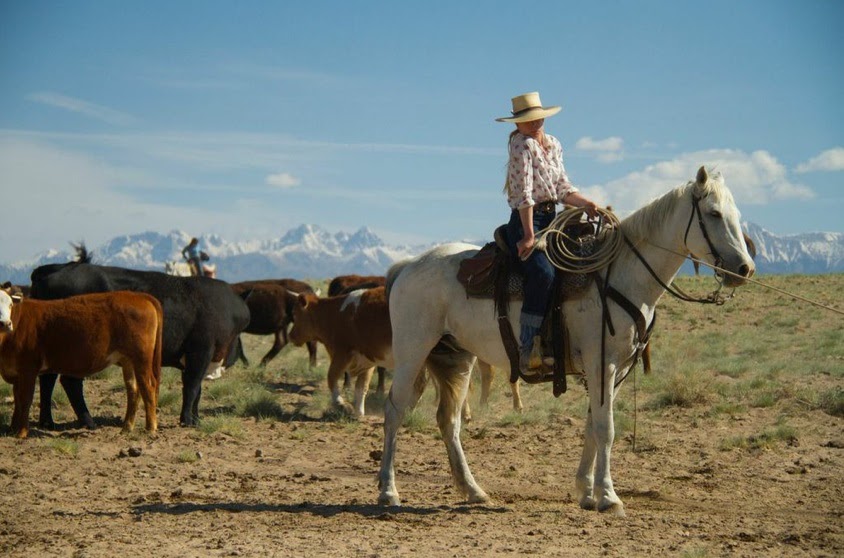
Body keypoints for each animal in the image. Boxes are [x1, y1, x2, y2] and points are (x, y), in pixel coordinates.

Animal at [0, 288, 162, 442]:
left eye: (10, 305)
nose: (5, 324)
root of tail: (138, 296)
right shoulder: (16, 373)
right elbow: (17, 400)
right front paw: (12, 429)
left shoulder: (28, 370)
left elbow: (25, 400)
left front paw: (21, 432)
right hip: (128, 360)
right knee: (133, 390)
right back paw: (127, 427)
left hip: (141, 358)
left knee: (148, 387)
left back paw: (150, 428)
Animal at [380, 168, 756, 520]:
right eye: (714, 213)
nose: (744, 268)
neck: (623, 276)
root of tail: (408, 266)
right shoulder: (601, 363)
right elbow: (606, 429)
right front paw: (609, 497)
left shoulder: (614, 370)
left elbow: (592, 426)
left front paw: (587, 492)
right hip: (414, 350)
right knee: (394, 410)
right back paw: (388, 491)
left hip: (456, 357)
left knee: (449, 421)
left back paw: (473, 490)